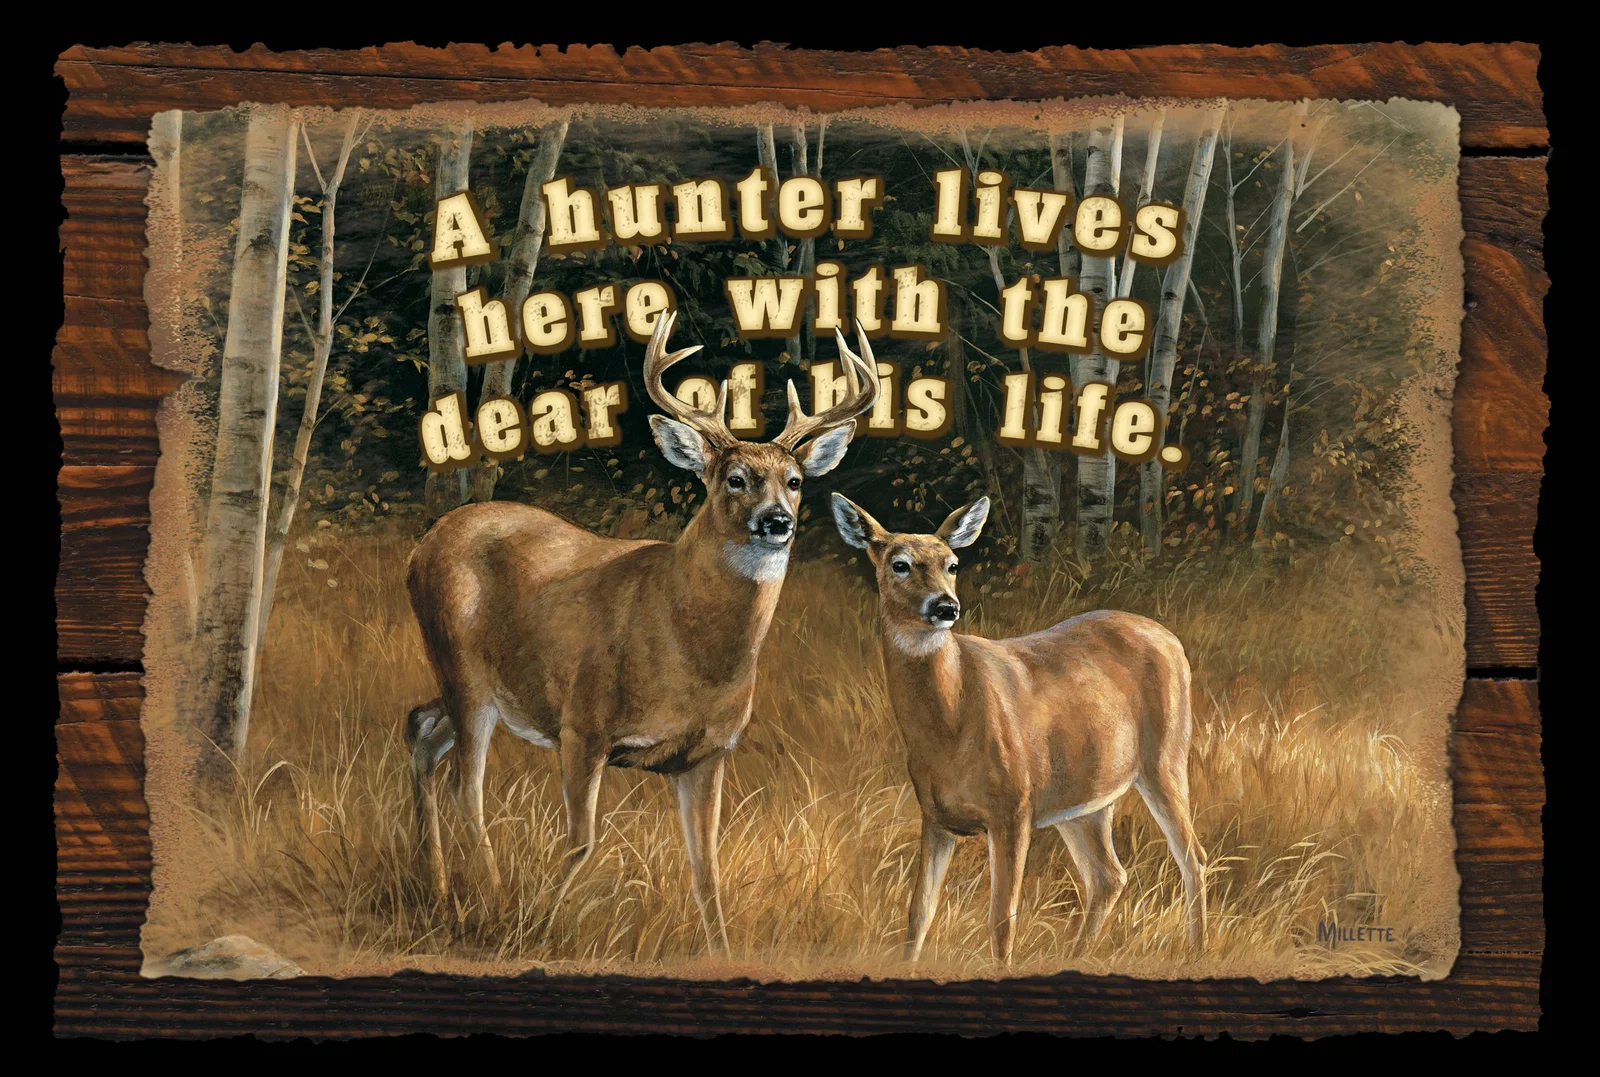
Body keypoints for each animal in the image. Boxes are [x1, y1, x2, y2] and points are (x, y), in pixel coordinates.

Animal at [404, 311, 880, 954]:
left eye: (796, 480)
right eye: (734, 479)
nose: (776, 521)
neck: (690, 654)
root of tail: (423, 545)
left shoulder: (709, 753)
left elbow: (707, 868)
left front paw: (721, 953)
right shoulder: (583, 724)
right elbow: (582, 842)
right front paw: (535, 927)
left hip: (477, 686)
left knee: (421, 728)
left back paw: (436, 887)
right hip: (463, 667)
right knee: (466, 788)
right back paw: (491, 903)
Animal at [829, 494, 1206, 966]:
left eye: (953, 564)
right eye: (900, 564)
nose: (946, 606)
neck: (949, 726)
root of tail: (1171, 638)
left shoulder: (1014, 805)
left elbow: (1002, 919)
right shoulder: (934, 816)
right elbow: (919, 912)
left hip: (1166, 756)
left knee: (1192, 856)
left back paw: (1196, 951)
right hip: (1085, 797)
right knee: (1109, 875)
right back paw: (1075, 956)